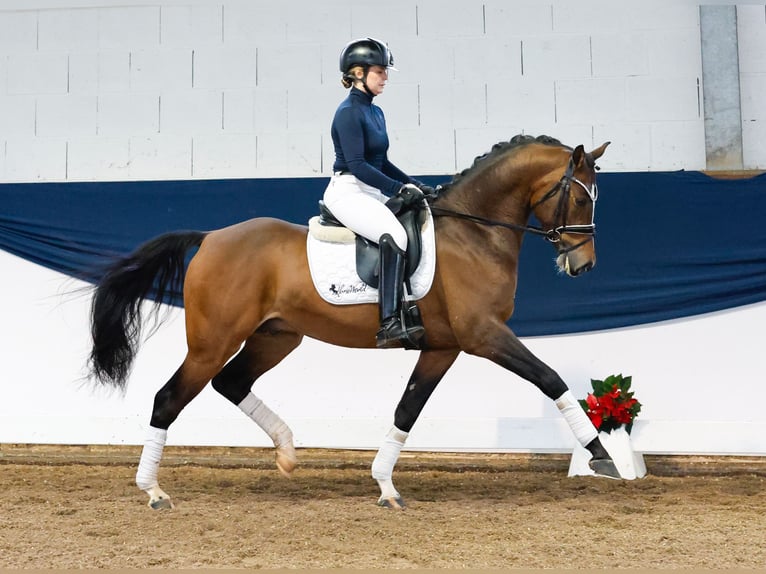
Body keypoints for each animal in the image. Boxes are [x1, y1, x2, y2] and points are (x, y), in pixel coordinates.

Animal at [88, 135, 616, 512]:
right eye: (581, 199)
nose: (584, 264)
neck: (475, 232)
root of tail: (211, 237)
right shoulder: (484, 335)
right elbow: (549, 378)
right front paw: (602, 455)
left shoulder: (443, 347)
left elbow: (407, 410)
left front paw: (385, 486)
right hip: (211, 343)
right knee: (169, 397)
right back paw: (153, 491)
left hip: (277, 337)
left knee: (231, 382)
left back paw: (287, 452)